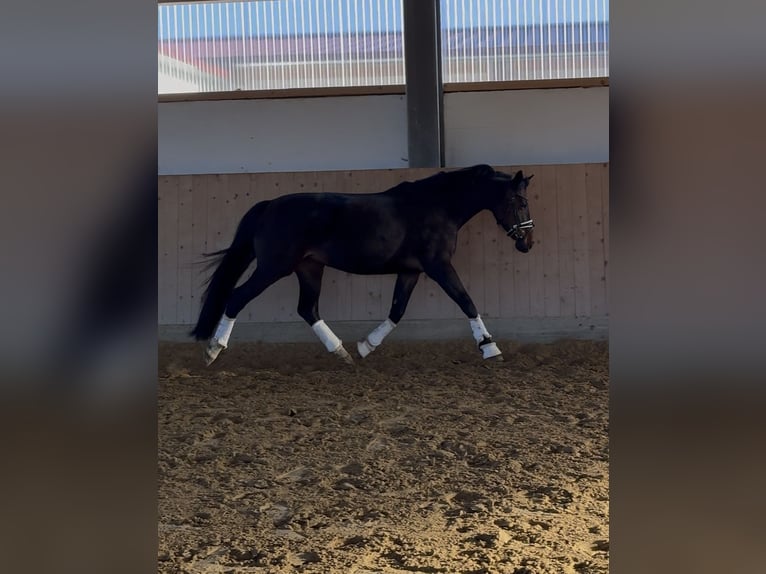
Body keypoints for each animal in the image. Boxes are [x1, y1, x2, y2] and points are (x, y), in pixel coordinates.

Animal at [191, 164, 535, 365]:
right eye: (520, 202)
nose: (527, 243)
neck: (438, 206)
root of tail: (268, 207)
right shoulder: (438, 266)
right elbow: (466, 301)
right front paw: (490, 347)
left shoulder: (410, 271)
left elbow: (397, 311)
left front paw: (366, 346)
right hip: (274, 267)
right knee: (237, 297)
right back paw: (213, 349)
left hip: (309, 268)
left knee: (308, 308)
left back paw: (342, 353)